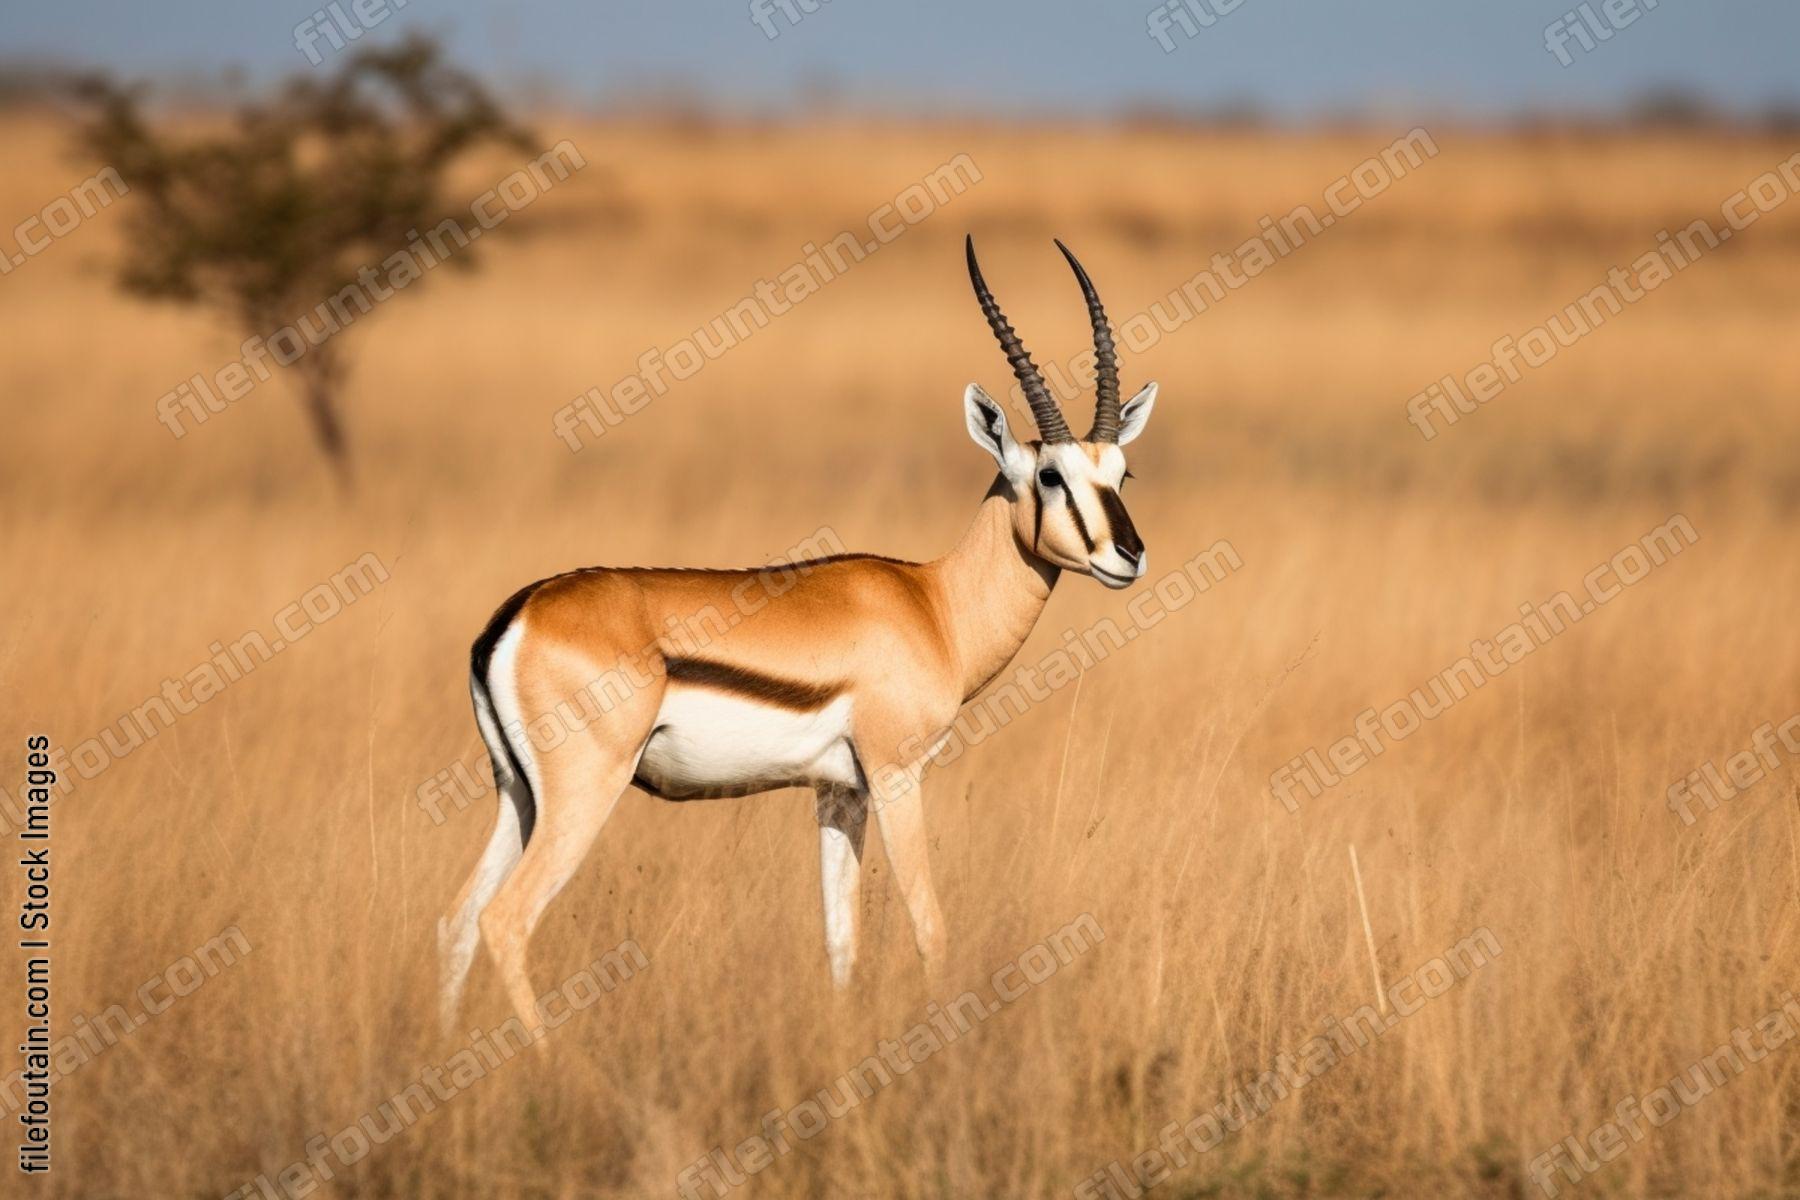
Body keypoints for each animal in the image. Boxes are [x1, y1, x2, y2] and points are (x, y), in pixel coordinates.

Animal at [438, 237, 1157, 1035]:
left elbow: (840, 939)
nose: (1128, 554)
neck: (932, 603)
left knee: (459, 919)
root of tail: (517, 614)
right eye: (1053, 476)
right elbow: (929, 925)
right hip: (582, 793)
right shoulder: (896, 776)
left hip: (517, 794)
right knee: (505, 918)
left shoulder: (838, 793)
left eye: (1122, 472)